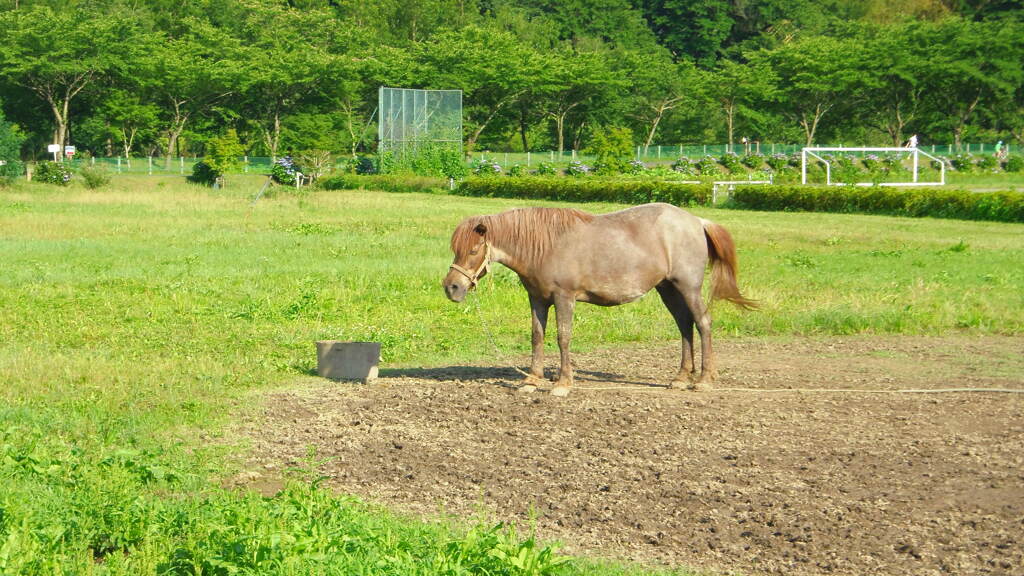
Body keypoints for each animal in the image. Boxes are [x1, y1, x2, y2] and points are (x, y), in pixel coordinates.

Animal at [444, 201, 757, 393]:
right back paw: (680, 378)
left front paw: (563, 383)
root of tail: (697, 222)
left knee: (703, 323)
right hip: (668, 288)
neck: (545, 245)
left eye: (473, 250)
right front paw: (532, 380)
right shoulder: (537, 299)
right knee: (685, 325)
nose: (451, 288)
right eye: (456, 249)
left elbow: (563, 337)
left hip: (688, 286)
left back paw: (703, 379)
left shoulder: (564, 297)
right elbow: (537, 336)